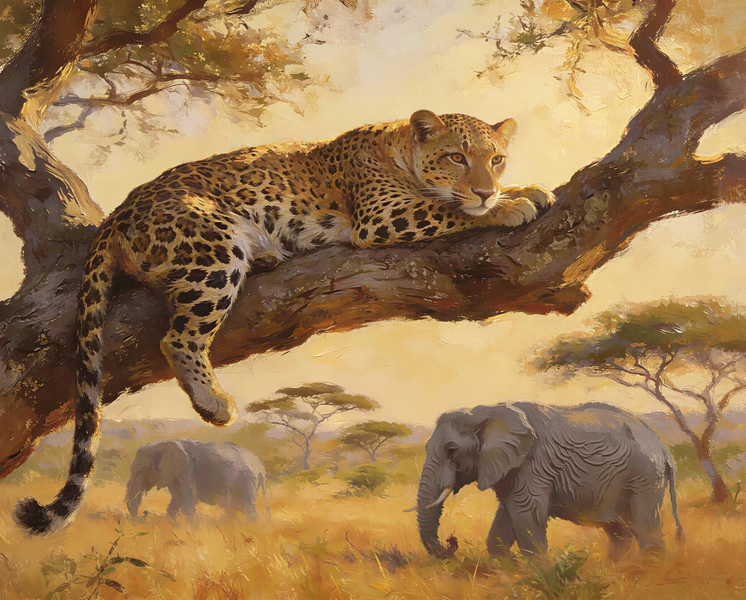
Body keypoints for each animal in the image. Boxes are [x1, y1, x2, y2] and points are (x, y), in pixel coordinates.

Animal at [15, 109, 555, 534]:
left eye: (497, 159)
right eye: (457, 157)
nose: (486, 189)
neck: (397, 144)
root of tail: (119, 213)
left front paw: (526, 189)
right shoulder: (384, 216)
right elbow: (446, 208)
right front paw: (509, 205)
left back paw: (269, 256)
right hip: (214, 246)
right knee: (178, 336)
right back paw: (215, 402)